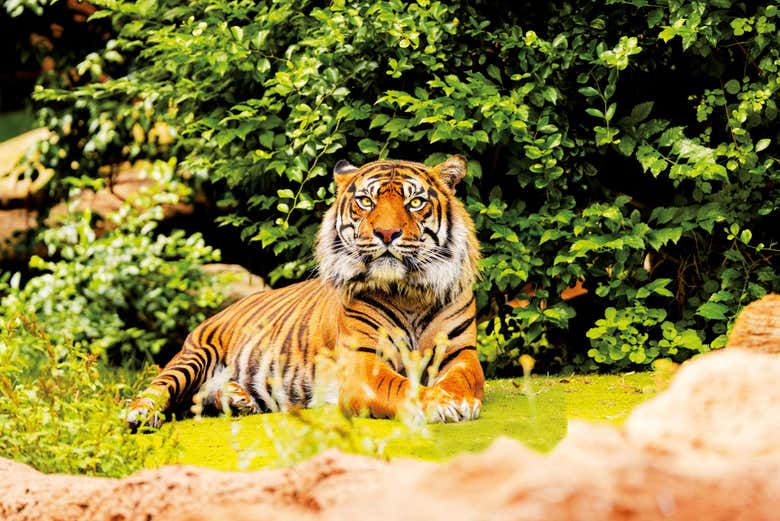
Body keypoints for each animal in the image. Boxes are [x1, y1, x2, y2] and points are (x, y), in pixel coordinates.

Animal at [125, 155, 484, 429]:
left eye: (415, 202)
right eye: (366, 201)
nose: (386, 233)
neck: (408, 292)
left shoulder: (460, 353)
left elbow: (461, 380)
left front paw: (456, 400)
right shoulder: (363, 361)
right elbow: (402, 387)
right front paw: (440, 403)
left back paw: (238, 399)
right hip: (195, 354)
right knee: (157, 388)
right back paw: (139, 414)